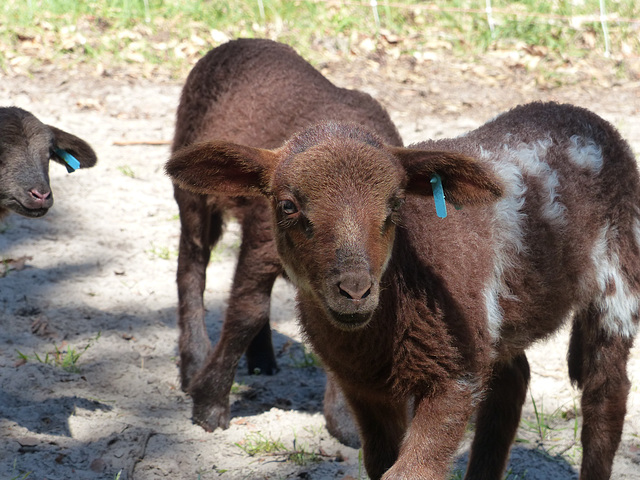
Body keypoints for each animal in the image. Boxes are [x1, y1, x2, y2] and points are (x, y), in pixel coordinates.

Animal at [168, 102, 640, 480]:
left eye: (395, 204)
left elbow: (410, 471)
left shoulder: (455, 378)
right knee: (513, 380)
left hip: (618, 281)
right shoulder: (364, 387)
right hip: (499, 317)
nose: (355, 290)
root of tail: (582, 115)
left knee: (606, 397)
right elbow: (380, 465)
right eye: (288, 206)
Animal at [170, 37, 400, 438]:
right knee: (191, 267)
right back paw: (194, 360)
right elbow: (245, 312)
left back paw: (262, 359)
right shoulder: (264, 239)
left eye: (393, 208)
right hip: (193, 193)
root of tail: (241, 40)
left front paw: (346, 420)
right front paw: (209, 405)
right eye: (289, 205)